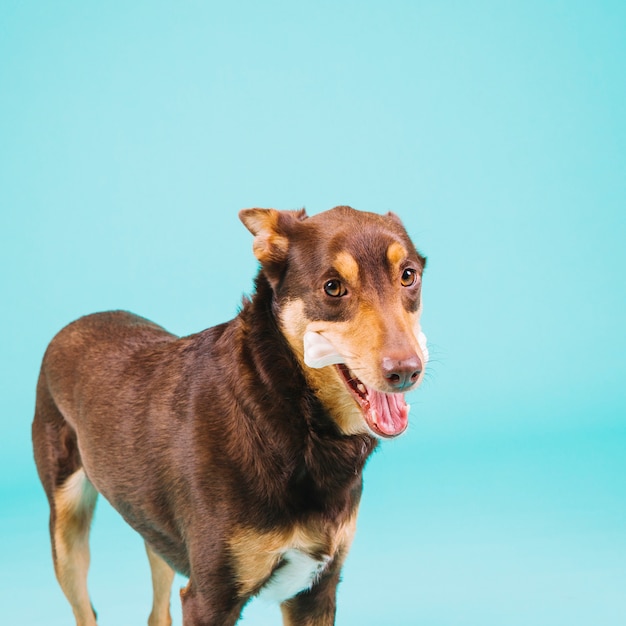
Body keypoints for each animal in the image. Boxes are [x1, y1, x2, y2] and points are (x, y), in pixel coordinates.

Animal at [31, 202, 426, 620]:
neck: (281, 408)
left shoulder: (317, 590)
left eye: (408, 276)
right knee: (85, 610)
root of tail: (77, 322)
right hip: (66, 534)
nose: (405, 371)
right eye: (332, 287)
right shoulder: (209, 598)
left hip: (155, 532)